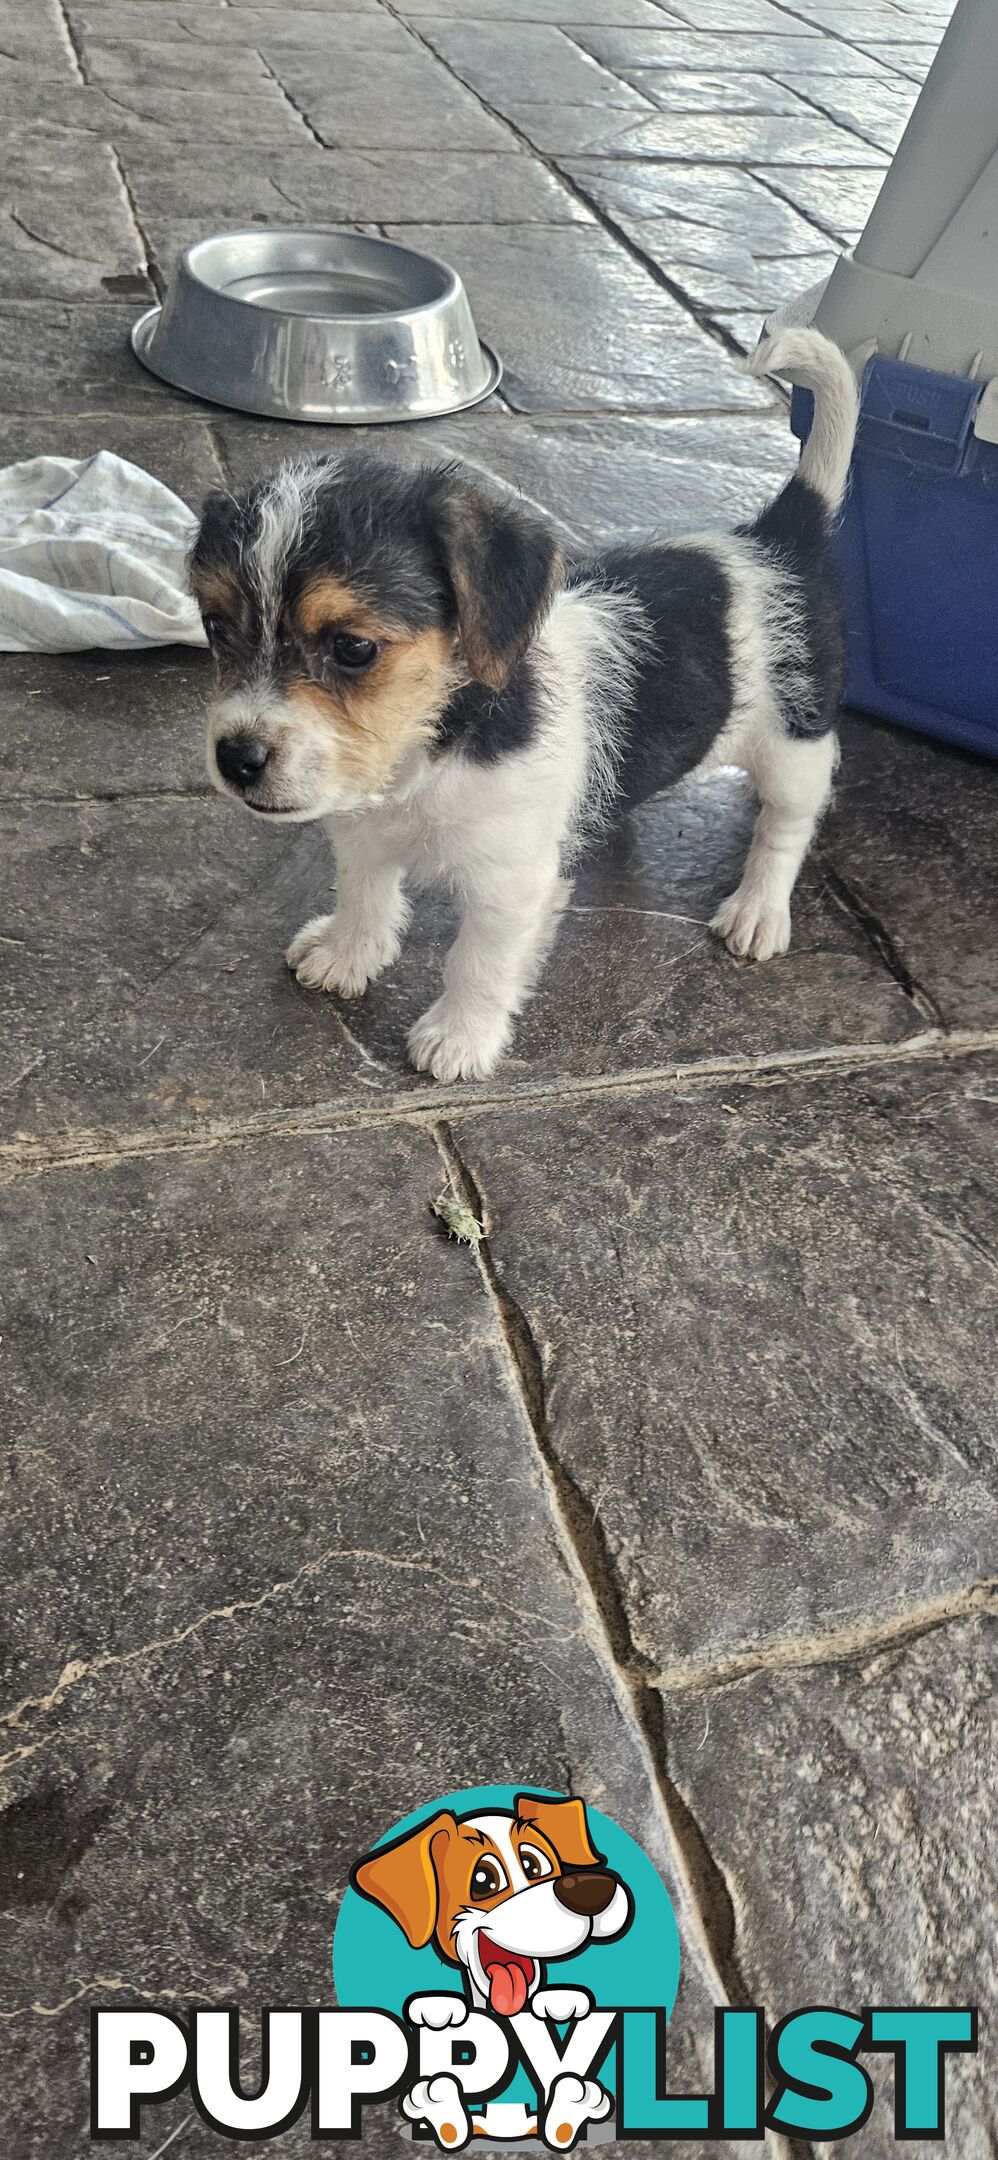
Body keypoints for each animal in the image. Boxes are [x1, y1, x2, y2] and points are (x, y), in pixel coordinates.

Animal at [193, 326, 859, 1080]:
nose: (236, 758)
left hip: (795, 741)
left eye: (354, 648)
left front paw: (459, 1037)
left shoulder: (507, 883)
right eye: (216, 628)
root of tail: (775, 540)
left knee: (788, 825)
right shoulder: (364, 833)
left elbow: (478, 963)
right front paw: (346, 953)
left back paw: (758, 909)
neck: (434, 747)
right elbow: (363, 892)